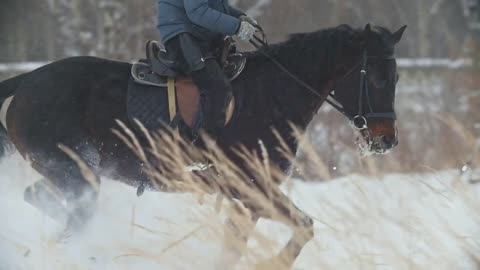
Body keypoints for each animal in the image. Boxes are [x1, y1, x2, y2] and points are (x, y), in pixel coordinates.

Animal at [0, 24, 406, 268]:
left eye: (398, 77)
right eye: (378, 77)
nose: (386, 140)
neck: (273, 93)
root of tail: (27, 83)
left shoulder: (249, 200)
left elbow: (236, 249)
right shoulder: (252, 190)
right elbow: (304, 227)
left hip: (70, 175)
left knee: (44, 202)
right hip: (76, 173)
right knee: (69, 217)